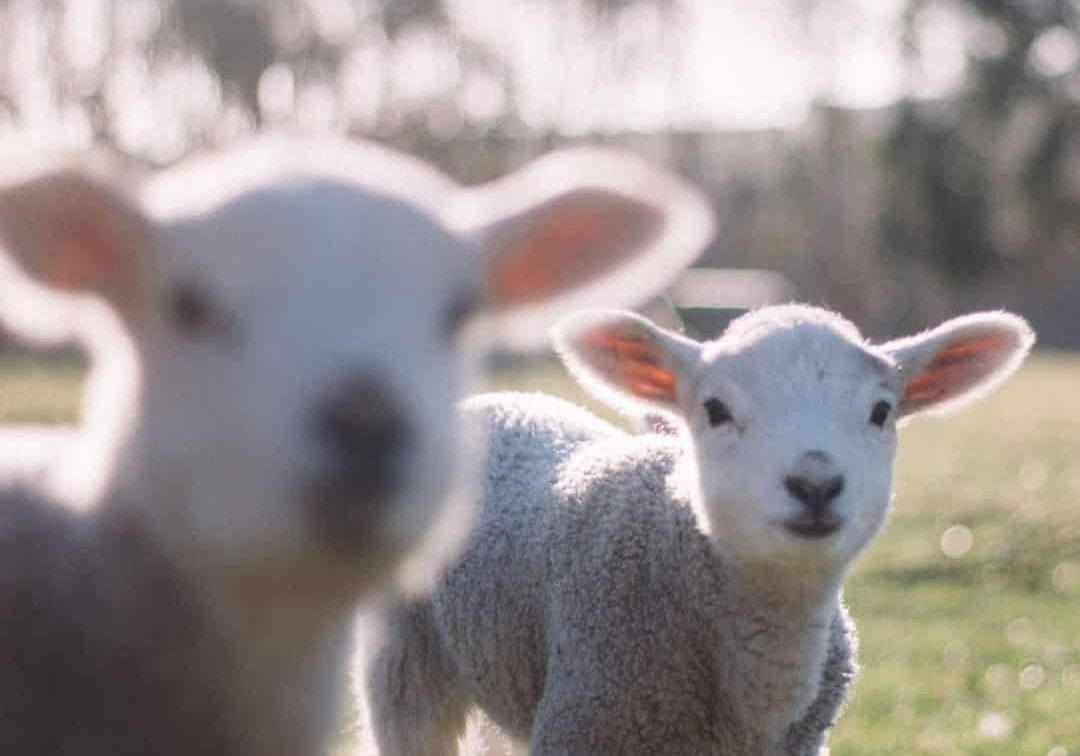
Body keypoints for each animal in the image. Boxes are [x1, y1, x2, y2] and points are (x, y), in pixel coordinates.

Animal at [364, 303, 1034, 756]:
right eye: (715, 410)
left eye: (881, 411)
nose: (815, 484)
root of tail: (501, 399)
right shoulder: (585, 721)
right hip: (403, 665)